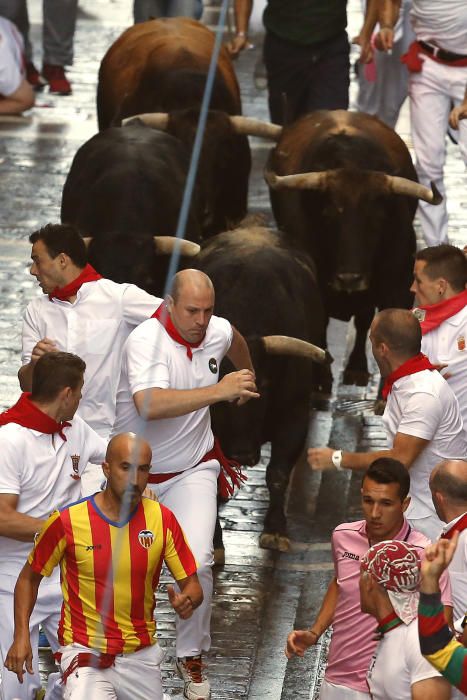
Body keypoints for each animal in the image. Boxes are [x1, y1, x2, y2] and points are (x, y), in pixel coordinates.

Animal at [196, 227, 330, 548]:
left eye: (264, 386)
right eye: (217, 395)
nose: (243, 454)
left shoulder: (294, 416)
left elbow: (278, 473)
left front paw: (276, 529)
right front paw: (215, 541)